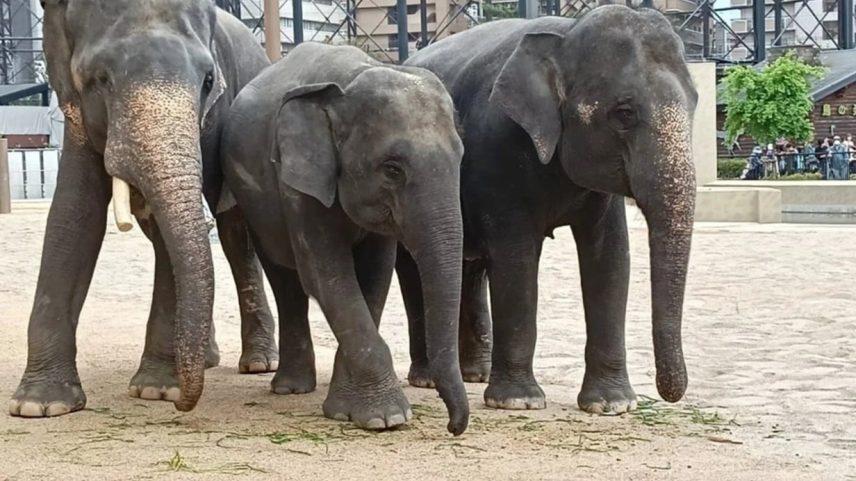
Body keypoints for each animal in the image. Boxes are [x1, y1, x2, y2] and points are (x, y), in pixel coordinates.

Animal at [9, 0, 278, 418]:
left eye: (208, 81)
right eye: (102, 79)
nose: (184, 406)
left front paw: (157, 390)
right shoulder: (78, 114)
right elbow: (73, 215)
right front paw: (39, 405)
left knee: (235, 235)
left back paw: (258, 362)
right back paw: (204, 359)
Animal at [220, 42, 469, 434]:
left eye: (461, 158)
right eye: (392, 169)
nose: (453, 427)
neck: (351, 80)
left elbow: (375, 277)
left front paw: (348, 410)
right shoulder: (297, 184)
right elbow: (328, 275)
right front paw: (386, 419)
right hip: (256, 202)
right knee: (285, 279)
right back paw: (290, 388)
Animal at [397, 5, 698, 413]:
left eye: (696, 101)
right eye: (624, 113)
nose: (669, 392)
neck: (565, 35)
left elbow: (611, 259)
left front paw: (612, 405)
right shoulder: (499, 152)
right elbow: (517, 258)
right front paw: (518, 402)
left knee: (470, 270)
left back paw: (474, 374)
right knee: (416, 268)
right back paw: (428, 378)